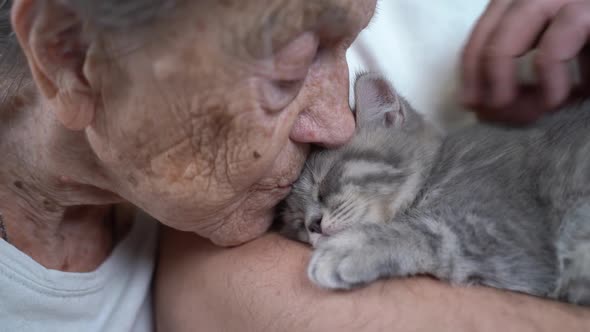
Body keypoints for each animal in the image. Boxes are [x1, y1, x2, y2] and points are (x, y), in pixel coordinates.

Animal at [280, 72, 590, 306]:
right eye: (297, 221)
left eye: (323, 182)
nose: (313, 224)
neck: (436, 172)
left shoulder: (507, 238)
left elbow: (429, 232)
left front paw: (348, 248)